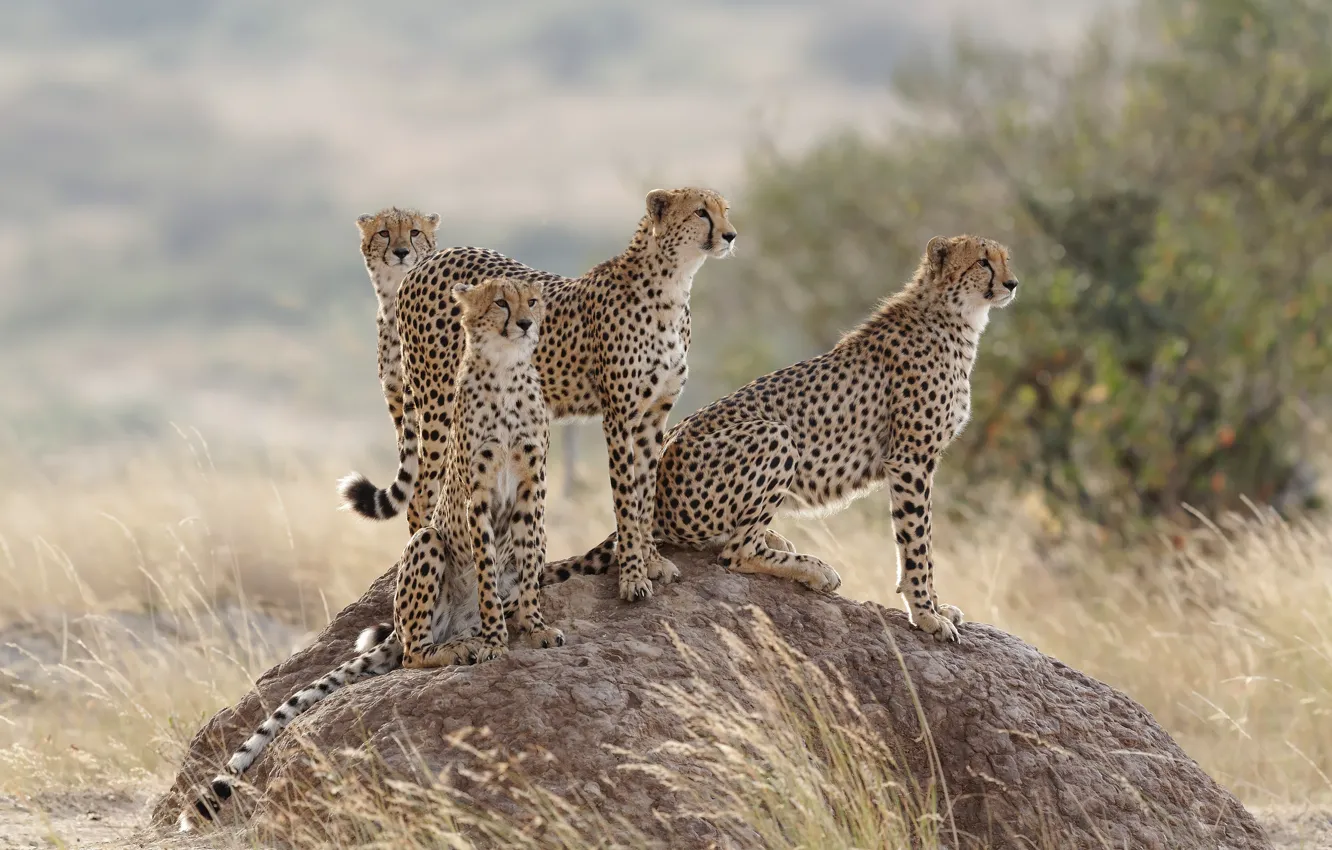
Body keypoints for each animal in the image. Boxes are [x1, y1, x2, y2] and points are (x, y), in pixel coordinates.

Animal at [181, 277, 561, 832]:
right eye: (500, 303)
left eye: (531, 300)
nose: (528, 323)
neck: (507, 371)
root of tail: (402, 629)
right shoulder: (477, 498)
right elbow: (489, 575)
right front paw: (496, 641)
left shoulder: (533, 485)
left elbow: (529, 563)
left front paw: (533, 626)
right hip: (427, 545)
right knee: (414, 653)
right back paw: (460, 646)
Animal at [544, 235, 1019, 643]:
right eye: (982, 261)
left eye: (1005, 258)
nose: (1013, 283)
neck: (956, 317)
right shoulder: (910, 460)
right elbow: (918, 543)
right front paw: (926, 615)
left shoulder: (917, 461)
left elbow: (922, 540)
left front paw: (935, 607)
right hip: (776, 435)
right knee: (735, 553)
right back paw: (812, 568)